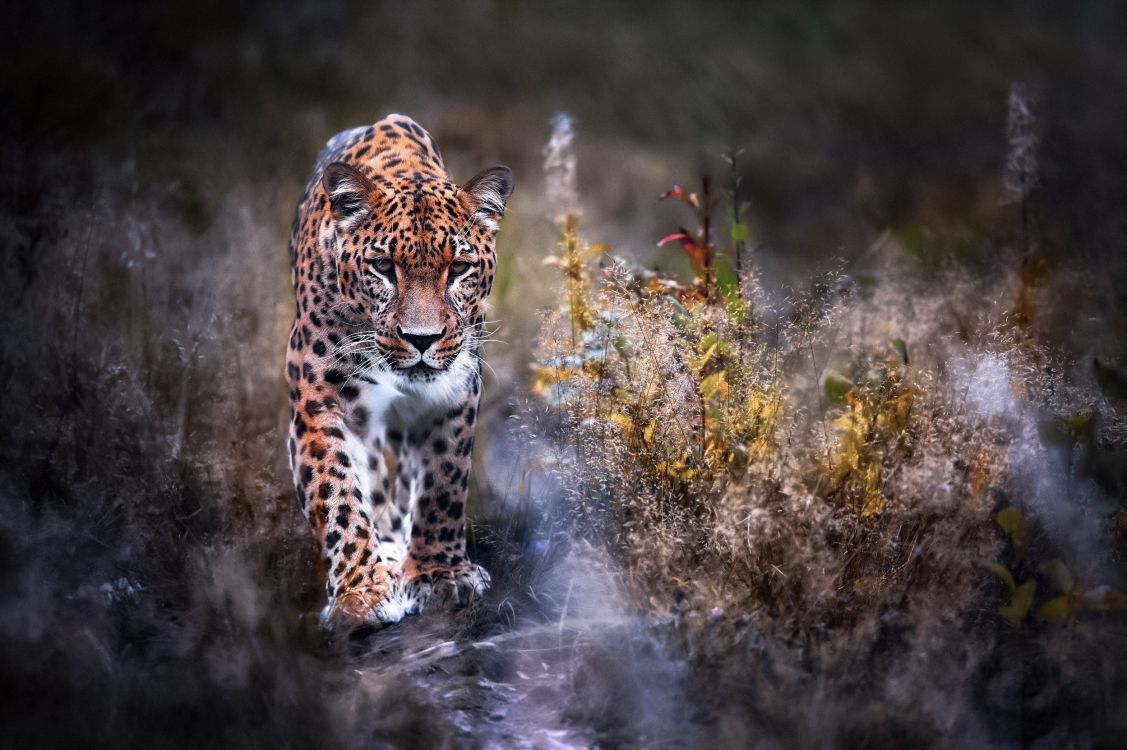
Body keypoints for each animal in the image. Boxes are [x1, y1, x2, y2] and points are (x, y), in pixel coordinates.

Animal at [284, 114, 513, 627]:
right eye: (383, 266)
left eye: (459, 268)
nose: (422, 339)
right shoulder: (319, 402)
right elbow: (338, 494)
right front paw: (361, 591)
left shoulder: (454, 393)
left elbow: (443, 482)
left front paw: (439, 573)